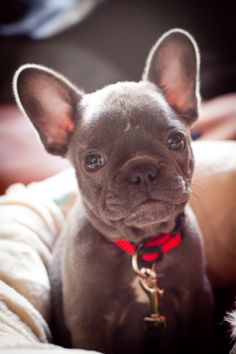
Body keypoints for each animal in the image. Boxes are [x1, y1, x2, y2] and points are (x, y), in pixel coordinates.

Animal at [13, 29, 215, 354]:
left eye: (176, 141)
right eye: (93, 161)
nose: (142, 171)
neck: (142, 246)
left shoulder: (197, 298)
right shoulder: (90, 322)